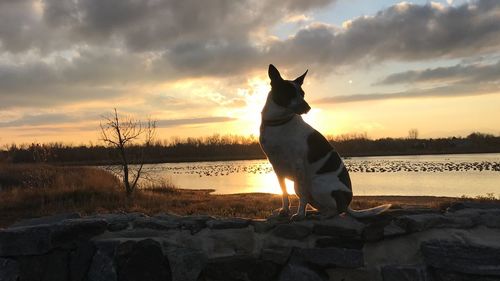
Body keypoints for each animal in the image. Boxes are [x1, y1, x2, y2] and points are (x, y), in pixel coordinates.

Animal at [260, 64, 392, 220]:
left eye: (303, 94)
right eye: (289, 93)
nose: (308, 108)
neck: (279, 123)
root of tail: (347, 204)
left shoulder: (298, 166)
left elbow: (302, 196)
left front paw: (299, 214)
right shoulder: (276, 167)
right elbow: (284, 192)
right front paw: (285, 210)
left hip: (316, 183)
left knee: (336, 210)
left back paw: (320, 215)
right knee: (323, 206)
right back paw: (315, 212)